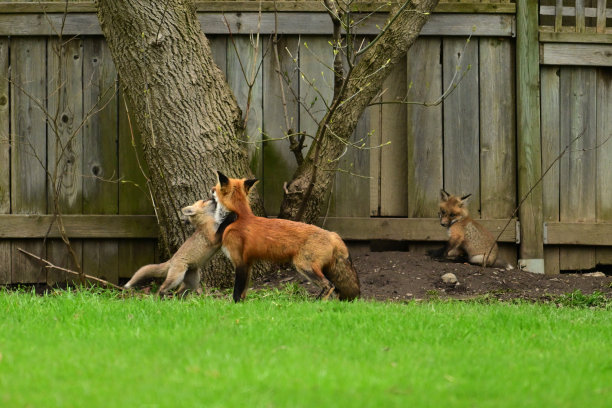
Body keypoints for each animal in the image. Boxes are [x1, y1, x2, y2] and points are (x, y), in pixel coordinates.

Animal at [213, 171, 360, 302]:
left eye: (216, 187)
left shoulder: (240, 262)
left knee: (329, 286)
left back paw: (314, 305)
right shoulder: (248, 263)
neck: (239, 216)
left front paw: (235, 307)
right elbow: (243, 292)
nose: (211, 189)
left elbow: (236, 293)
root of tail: (332, 234)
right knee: (336, 291)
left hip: (305, 266)